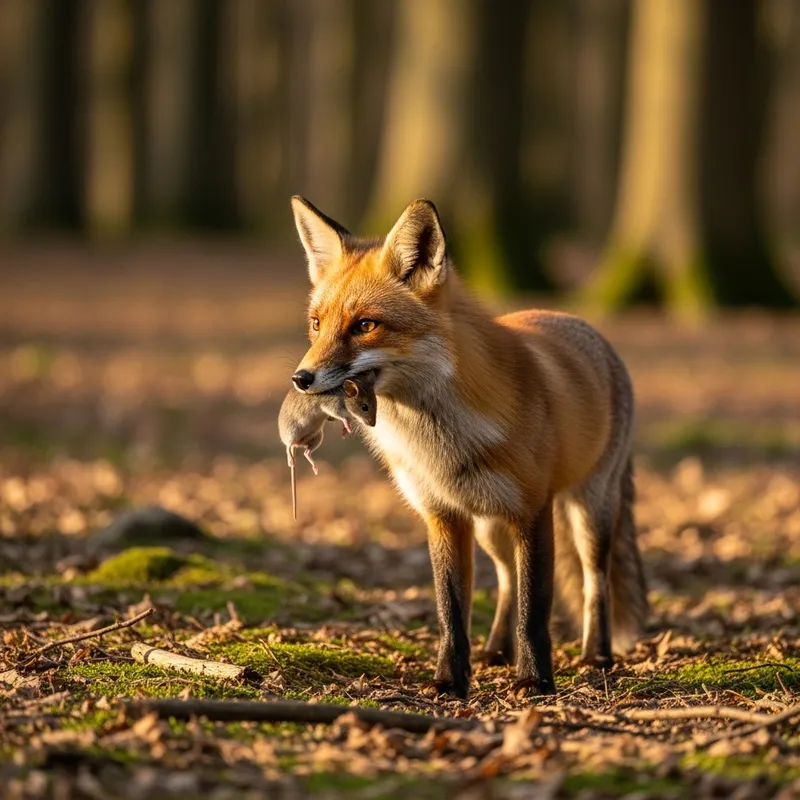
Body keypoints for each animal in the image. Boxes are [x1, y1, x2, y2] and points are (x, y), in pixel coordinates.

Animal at [287, 195, 648, 699]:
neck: (440, 441)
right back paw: (496, 650)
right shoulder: (443, 515)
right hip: (491, 528)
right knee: (505, 580)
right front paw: (449, 681)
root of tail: (583, 325)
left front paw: (534, 680)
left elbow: (535, 609)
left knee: (595, 581)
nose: (300, 379)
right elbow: (451, 610)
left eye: (365, 325)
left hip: (588, 512)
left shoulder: (532, 511)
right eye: (316, 324)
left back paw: (597, 655)